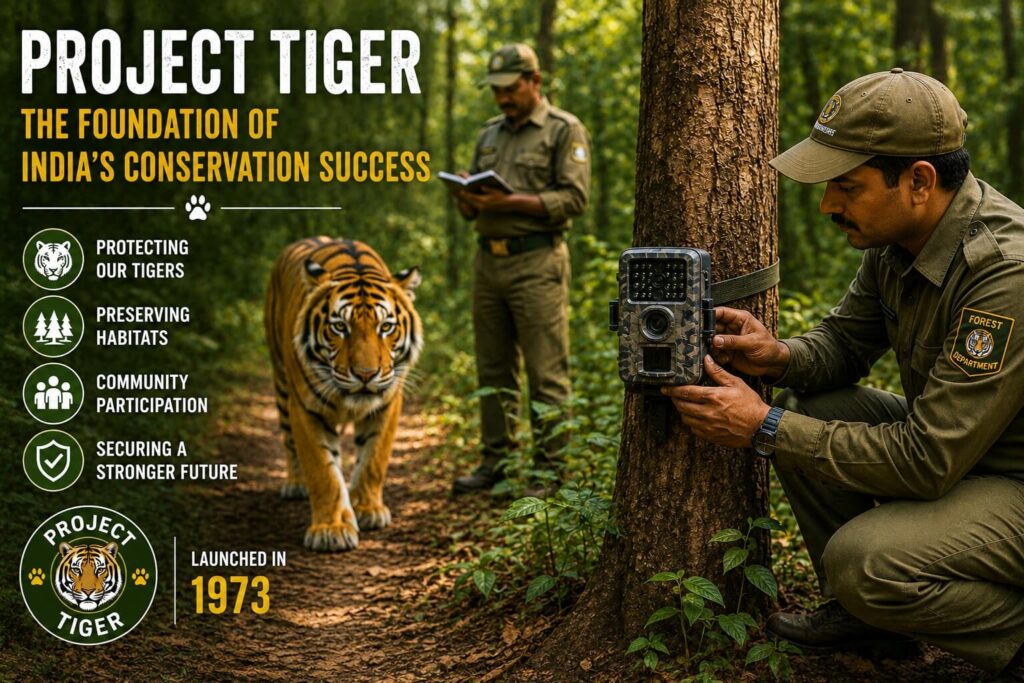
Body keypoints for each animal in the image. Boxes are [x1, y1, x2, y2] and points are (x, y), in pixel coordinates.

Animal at [265, 237, 422, 552]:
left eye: (386, 327)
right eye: (340, 327)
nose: (365, 374)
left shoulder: (388, 404)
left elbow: (373, 459)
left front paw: (368, 509)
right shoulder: (305, 408)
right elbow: (322, 470)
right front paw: (331, 529)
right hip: (282, 384)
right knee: (289, 441)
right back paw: (295, 484)